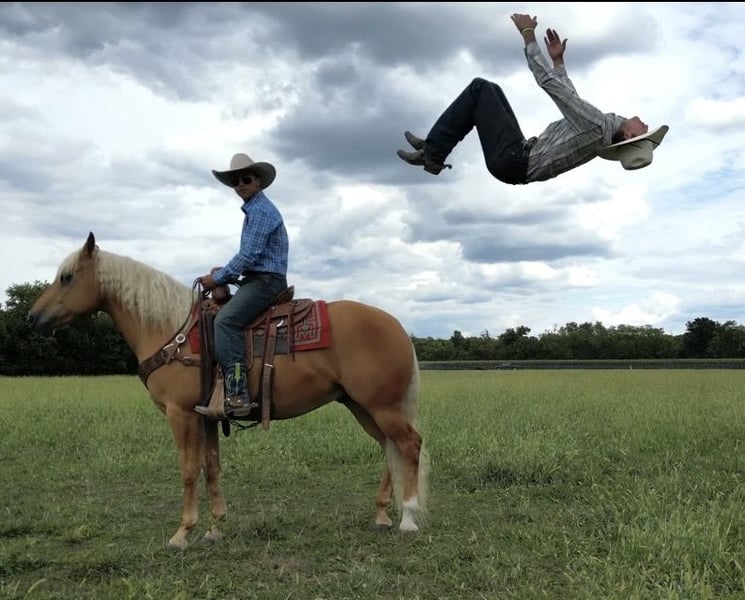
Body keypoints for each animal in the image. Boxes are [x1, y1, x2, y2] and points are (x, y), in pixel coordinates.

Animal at [28, 232, 428, 549]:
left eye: (66, 277)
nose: (32, 318)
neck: (172, 330)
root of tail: (396, 325)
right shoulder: (206, 416)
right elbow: (212, 467)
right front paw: (215, 526)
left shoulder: (182, 415)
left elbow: (189, 470)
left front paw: (182, 533)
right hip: (361, 405)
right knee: (390, 448)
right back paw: (382, 515)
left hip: (382, 406)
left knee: (408, 445)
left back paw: (408, 518)